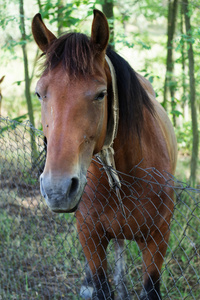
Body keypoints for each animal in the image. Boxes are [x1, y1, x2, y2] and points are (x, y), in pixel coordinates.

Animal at [32, 9, 177, 300]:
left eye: (101, 94)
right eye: (40, 93)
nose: (57, 189)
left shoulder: (158, 241)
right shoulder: (90, 238)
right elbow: (101, 284)